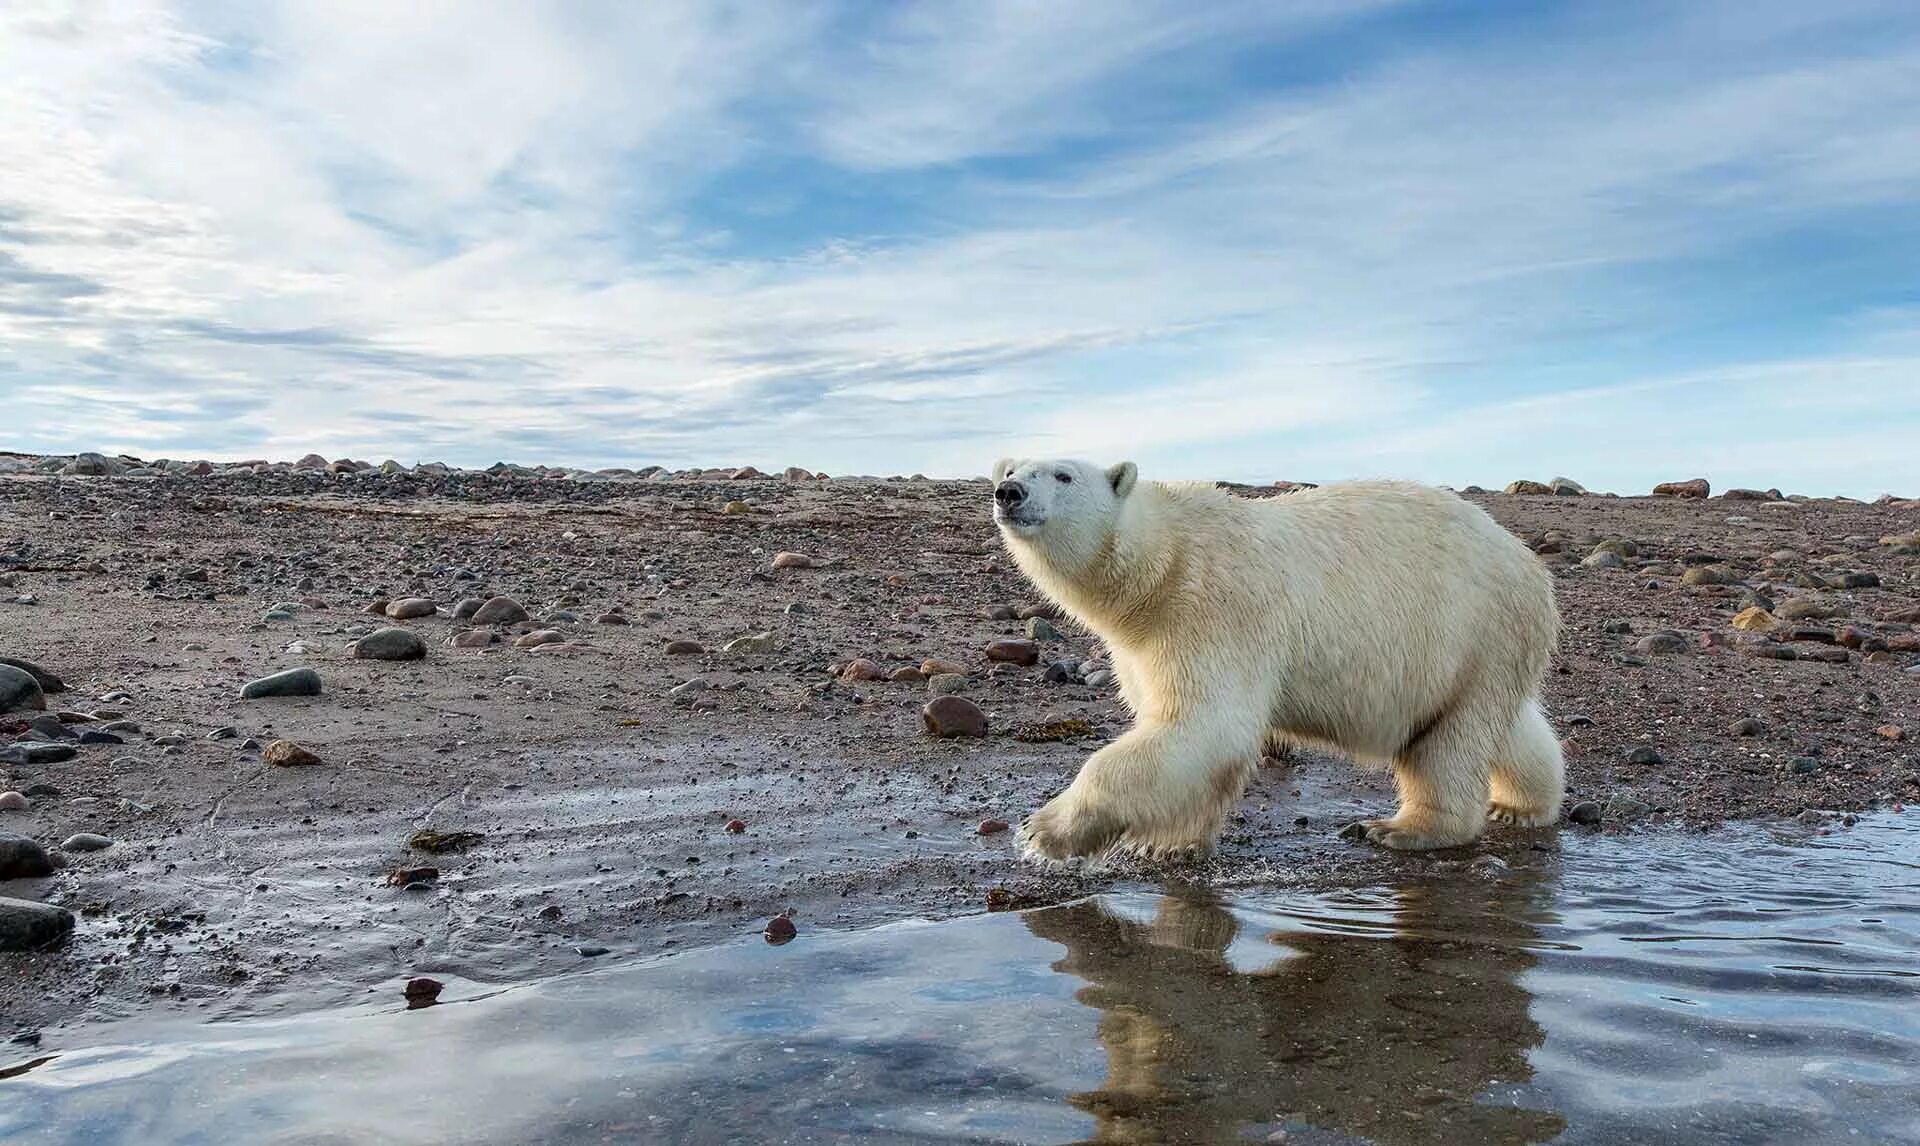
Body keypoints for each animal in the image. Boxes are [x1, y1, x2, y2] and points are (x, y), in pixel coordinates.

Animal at [990, 454, 1559, 859]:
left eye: (1063, 474)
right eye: (1013, 468)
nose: (1008, 491)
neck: (1163, 561)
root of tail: (1531, 567)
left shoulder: (1212, 608)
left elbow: (1207, 724)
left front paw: (1042, 832)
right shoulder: (1143, 641)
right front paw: (1166, 842)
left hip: (1471, 627)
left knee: (1448, 744)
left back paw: (1403, 828)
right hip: (1479, 653)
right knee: (1500, 726)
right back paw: (1521, 805)